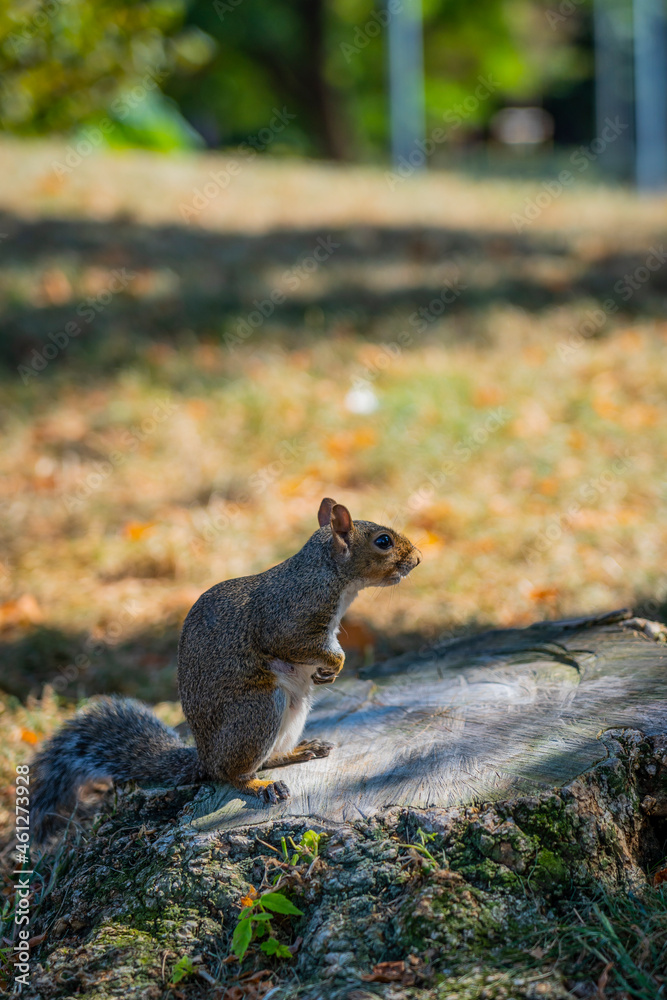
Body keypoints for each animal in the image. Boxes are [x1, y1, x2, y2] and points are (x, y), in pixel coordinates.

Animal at [31, 498, 420, 841]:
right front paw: (334, 664)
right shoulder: (288, 619)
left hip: (293, 709)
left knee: (268, 757)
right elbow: (295, 644)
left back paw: (299, 750)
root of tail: (204, 758)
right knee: (231, 774)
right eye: (383, 541)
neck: (327, 574)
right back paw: (260, 785)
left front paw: (328, 671)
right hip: (259, 710)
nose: (417, 559)